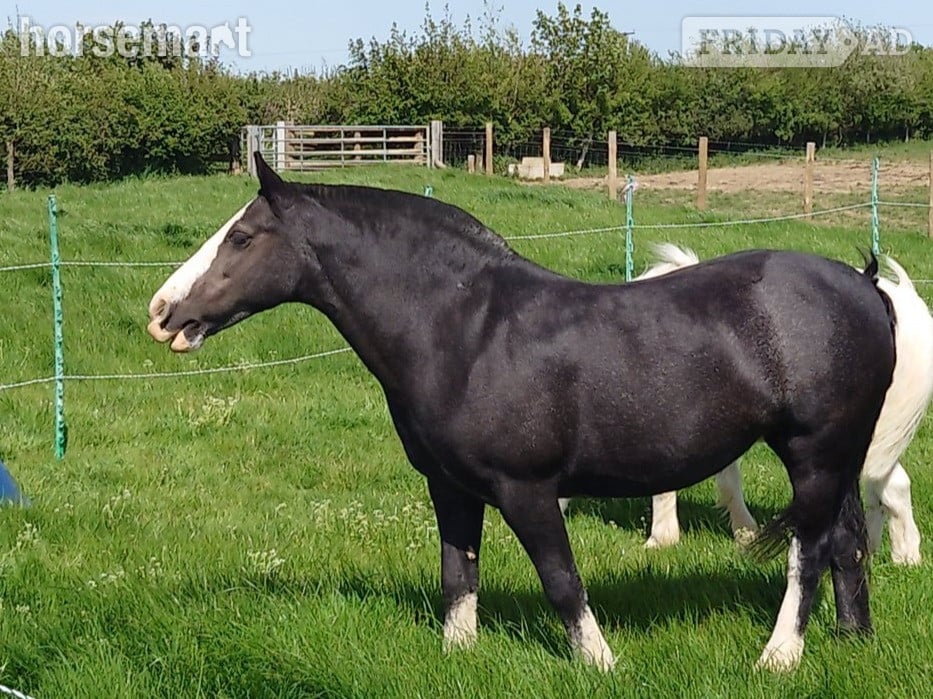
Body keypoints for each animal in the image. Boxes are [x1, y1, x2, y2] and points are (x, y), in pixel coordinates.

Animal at [561, 244, 933, 564]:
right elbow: (727, 479)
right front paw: (743, 530)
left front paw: (662, 538)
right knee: (883, 492)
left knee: (891, 488)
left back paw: (904, 557)